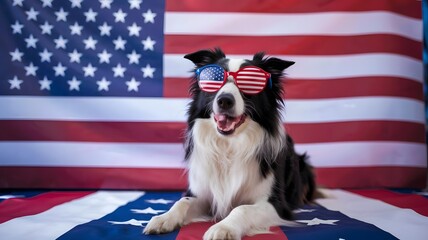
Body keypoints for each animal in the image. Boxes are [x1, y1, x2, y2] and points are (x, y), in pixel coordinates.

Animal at [145, 47, 316, 239]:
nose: (225, 100)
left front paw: (223, 228)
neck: (229, 145)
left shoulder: (275, 203)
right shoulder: (203, 194)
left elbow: (242, 209)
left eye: (250, 82)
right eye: (213, 79)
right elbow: (183, 201)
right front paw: (163, 218)